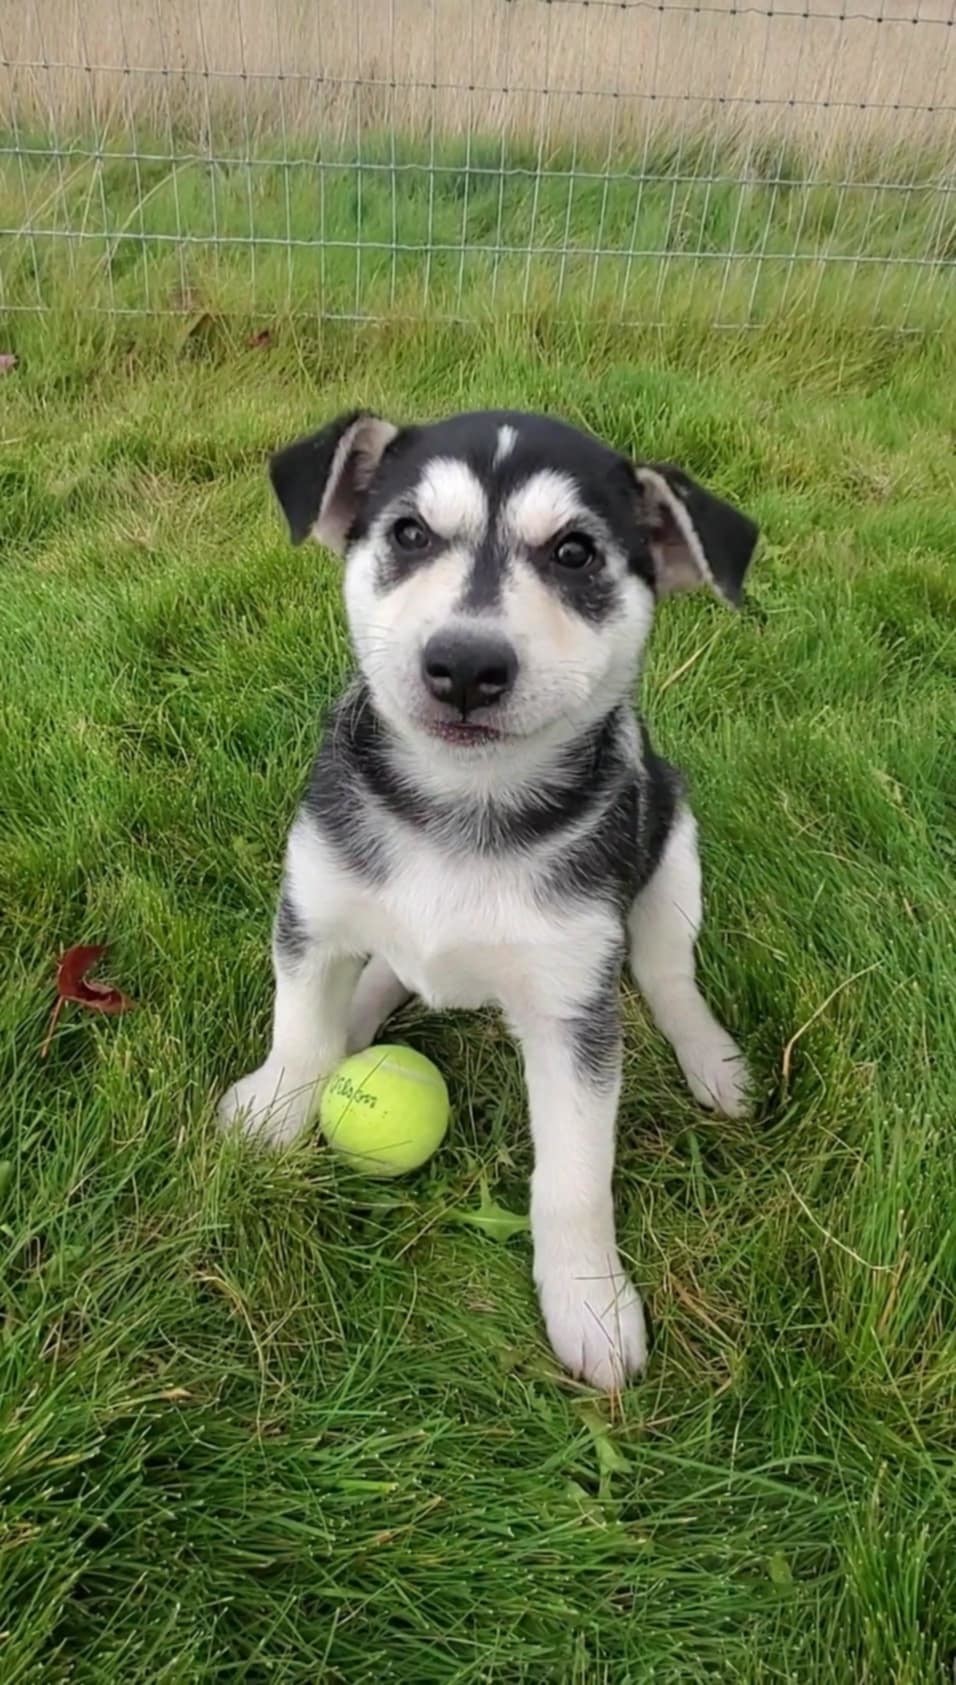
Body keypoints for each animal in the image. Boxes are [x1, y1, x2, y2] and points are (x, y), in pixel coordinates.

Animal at [220, 411, 758, 1395]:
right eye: (408, 534)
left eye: (576, 552)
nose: (465, 664)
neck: (463, 805)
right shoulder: (313, 911)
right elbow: (302, 1028)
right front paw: (277, 1107)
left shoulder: (573, 1007)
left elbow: (575, 1174)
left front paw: (588, 1301)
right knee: (390, 970)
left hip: (672, 841)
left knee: (666, 970)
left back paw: (710, 1056)